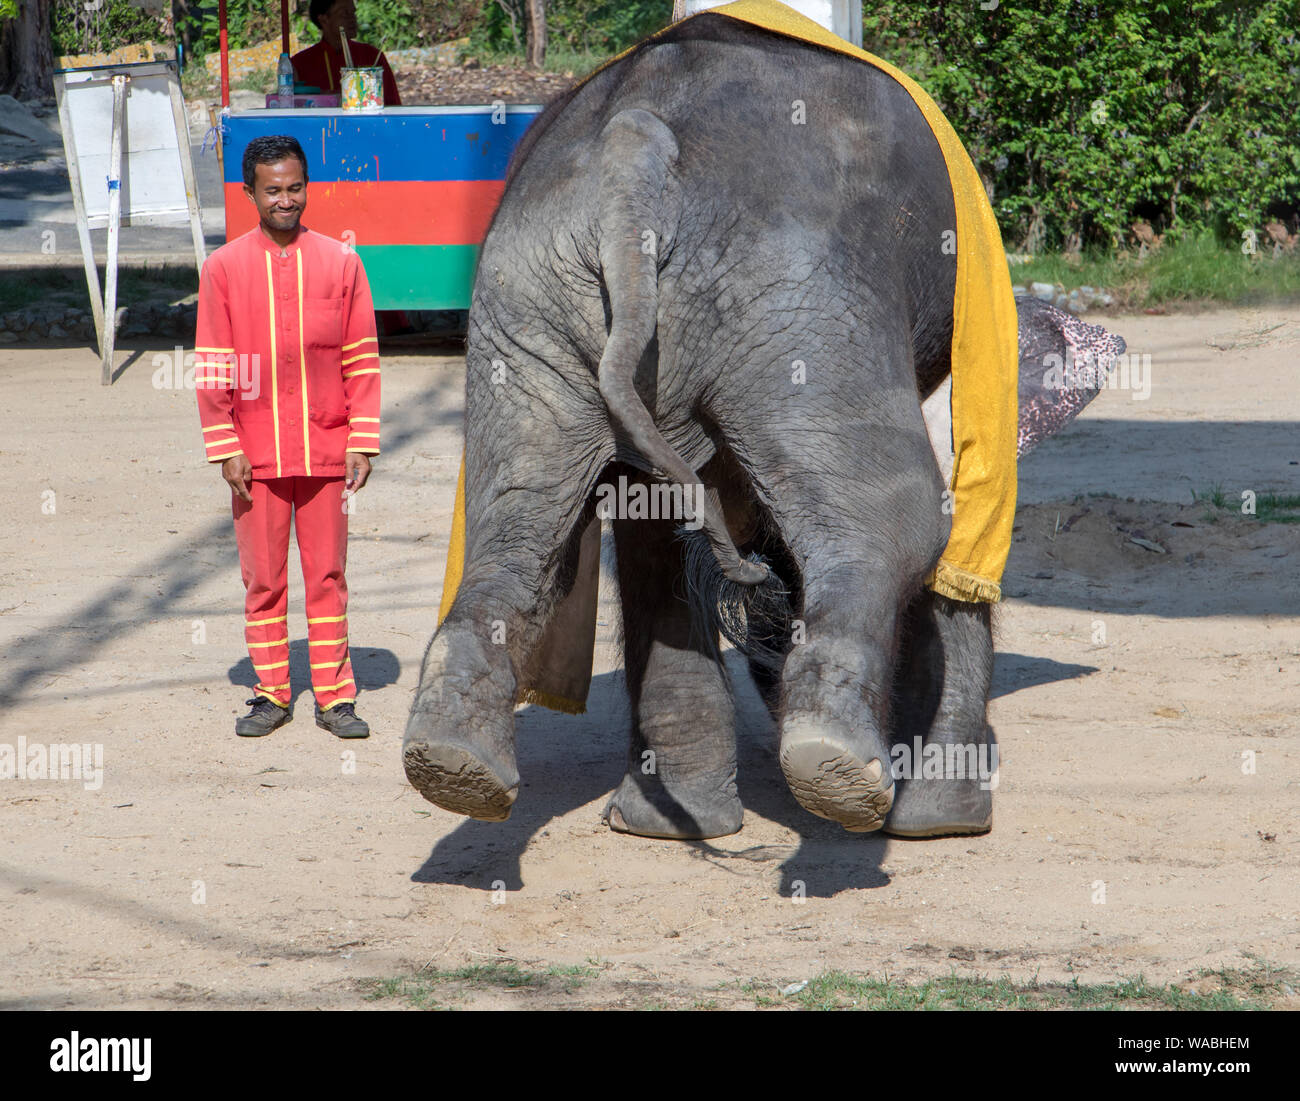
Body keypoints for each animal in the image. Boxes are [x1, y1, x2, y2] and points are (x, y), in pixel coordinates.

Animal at [402, 12, 1126, 841]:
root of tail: (635, 148)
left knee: (519, 520)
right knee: (905, 517)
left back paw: (463, 766)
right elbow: (961, 511)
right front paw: (943, 823)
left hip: (532, 300)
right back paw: (836, 771)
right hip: (803, 300)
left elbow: (654, 531)